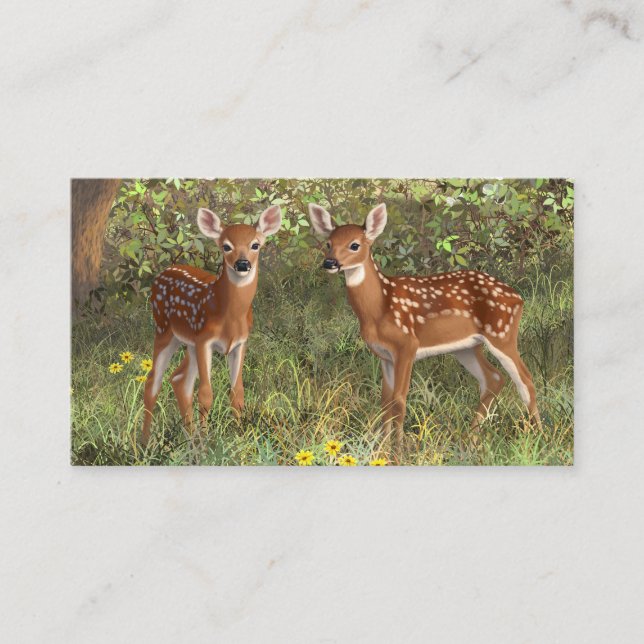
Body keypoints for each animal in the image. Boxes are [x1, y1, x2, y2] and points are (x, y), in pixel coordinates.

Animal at [141, 205, 282, 446]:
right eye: (226, 246)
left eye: (255, 245)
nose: (242, 264)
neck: (230, 316)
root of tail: (162, 273)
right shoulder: (204, 341)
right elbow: (206, 394)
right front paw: (208, 441)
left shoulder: (240, 343)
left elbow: (237, 393)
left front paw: (239, 436)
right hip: (164, 330)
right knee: (153, 382)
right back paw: (143, 443)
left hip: (188, 342)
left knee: (179, 380)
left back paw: (190, 440)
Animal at [308, 202, 540, 462]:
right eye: (329, 243)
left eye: (355, 244)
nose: (329, 263)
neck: (379, 308)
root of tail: (518, 297)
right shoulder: (384, 356)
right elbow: (385, 402)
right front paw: (380, 450)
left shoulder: (407, 345)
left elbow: (399, 401)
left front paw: (397, 454)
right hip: (467, 347)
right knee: (494, 378)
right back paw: (469, 443)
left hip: (502, 333)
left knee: (526, 380)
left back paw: (538, 437)